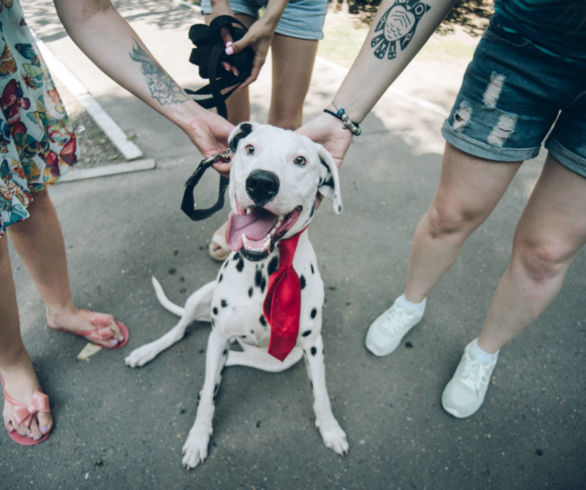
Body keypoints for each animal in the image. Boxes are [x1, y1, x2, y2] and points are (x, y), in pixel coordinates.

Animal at [124, 120, 346, 468]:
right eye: (250, 149)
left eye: (300, 160)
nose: (262, 182)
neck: (266, 268)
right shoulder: (219, 333)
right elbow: (206, 404)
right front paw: (198, 438)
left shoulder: (312, 345)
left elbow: (321, 393)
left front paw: (331, 429)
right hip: (200, 298)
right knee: (180, 331)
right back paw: (148, 351)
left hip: (283, 358)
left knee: (233, 359)